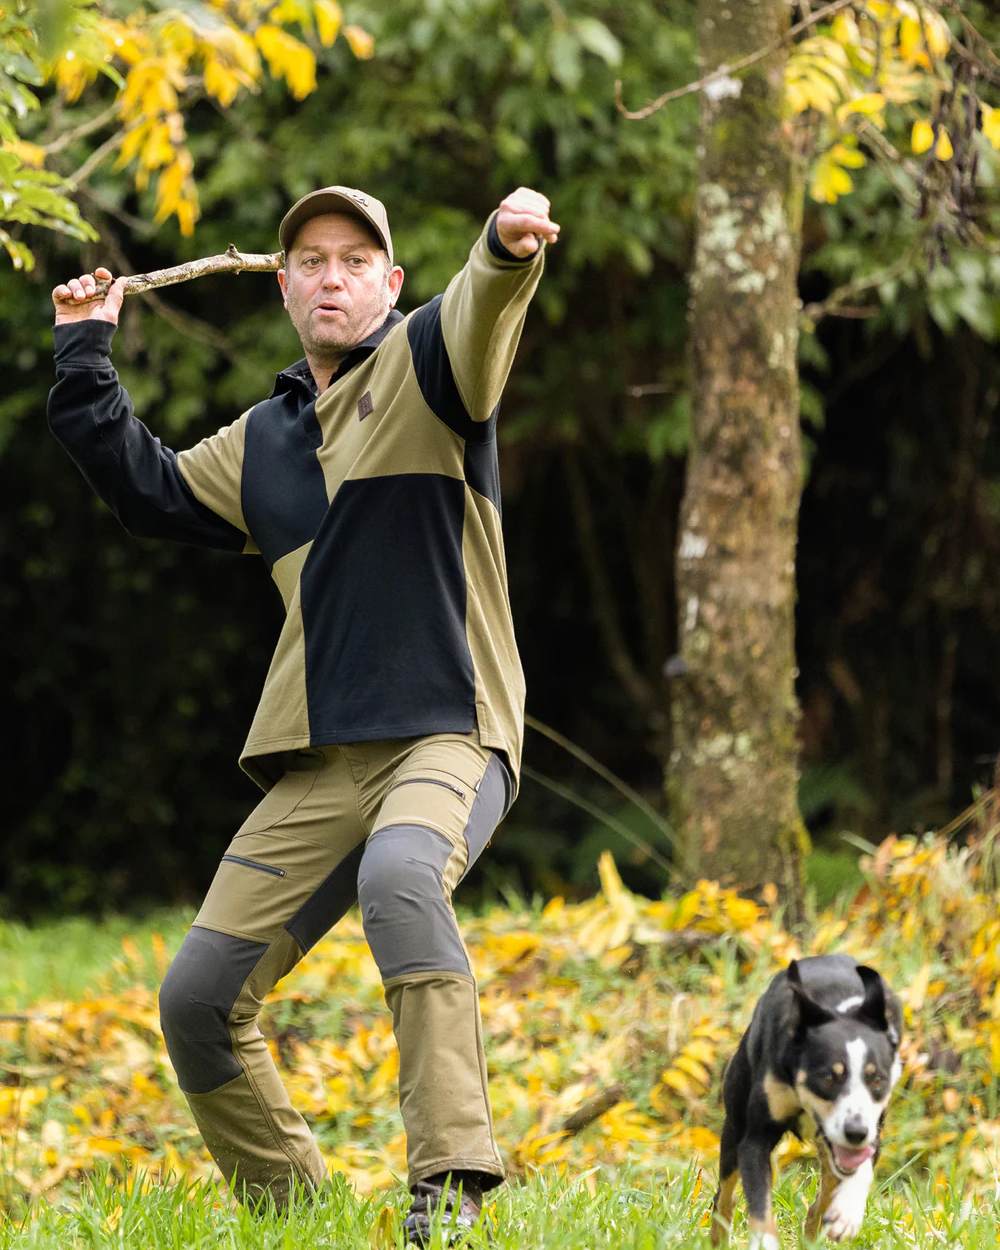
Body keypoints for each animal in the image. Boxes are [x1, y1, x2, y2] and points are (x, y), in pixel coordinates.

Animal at [710, 955, 905, 1240]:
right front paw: (764, 1242)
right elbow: (760, 1207)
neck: (841, 1012)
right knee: (725, 1196)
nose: (855, 1131)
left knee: (826, 1189)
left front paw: (846, 1213)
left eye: (877, 1079)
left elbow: (861, 1167)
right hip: (734, 1123)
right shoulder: (755, 1139)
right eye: (828, 1077)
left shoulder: (872, 1127)